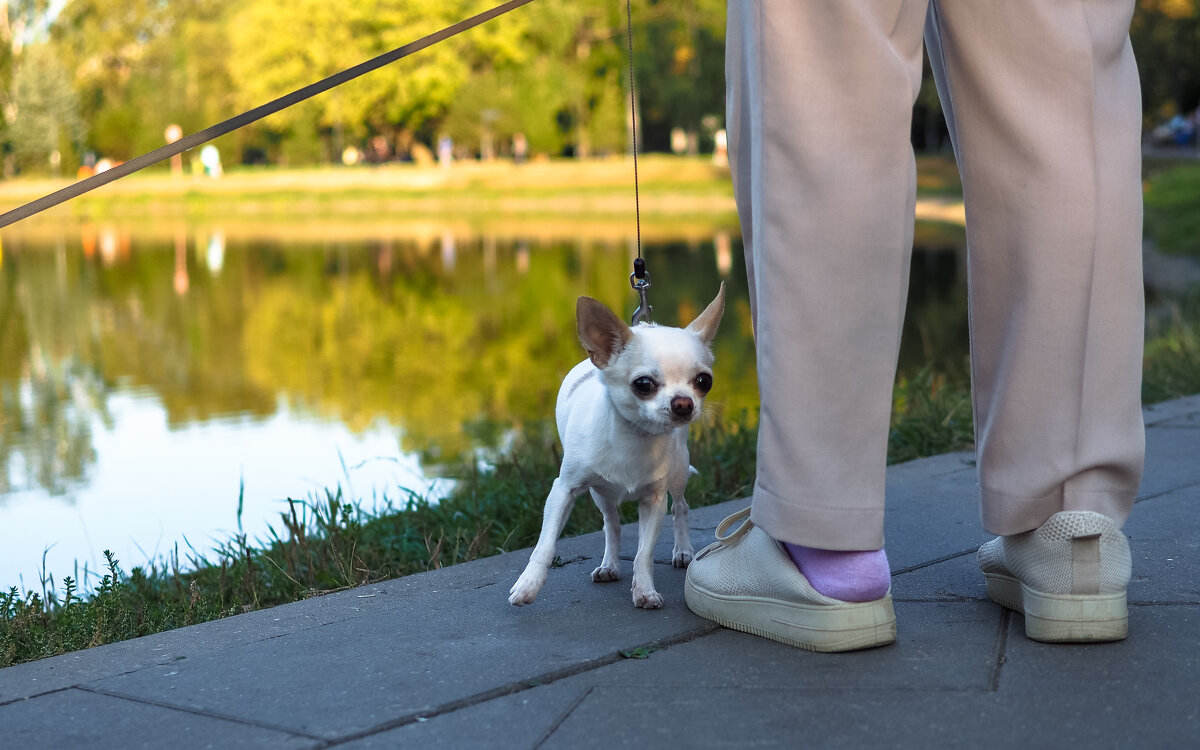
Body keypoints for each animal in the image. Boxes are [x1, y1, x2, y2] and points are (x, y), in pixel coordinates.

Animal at [506, 282, 720, 609]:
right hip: (600, 493)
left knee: (681, 507)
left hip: (678, 472)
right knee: (612, 524)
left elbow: (644, 553)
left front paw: (644, 590)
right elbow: (545, 545)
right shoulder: (563, 491)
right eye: (643, 384)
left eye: (703, 381)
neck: (634, 437)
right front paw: (528, 585)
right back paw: (609, 565)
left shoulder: (654, 500)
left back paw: (683, 550)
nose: (684, 403)